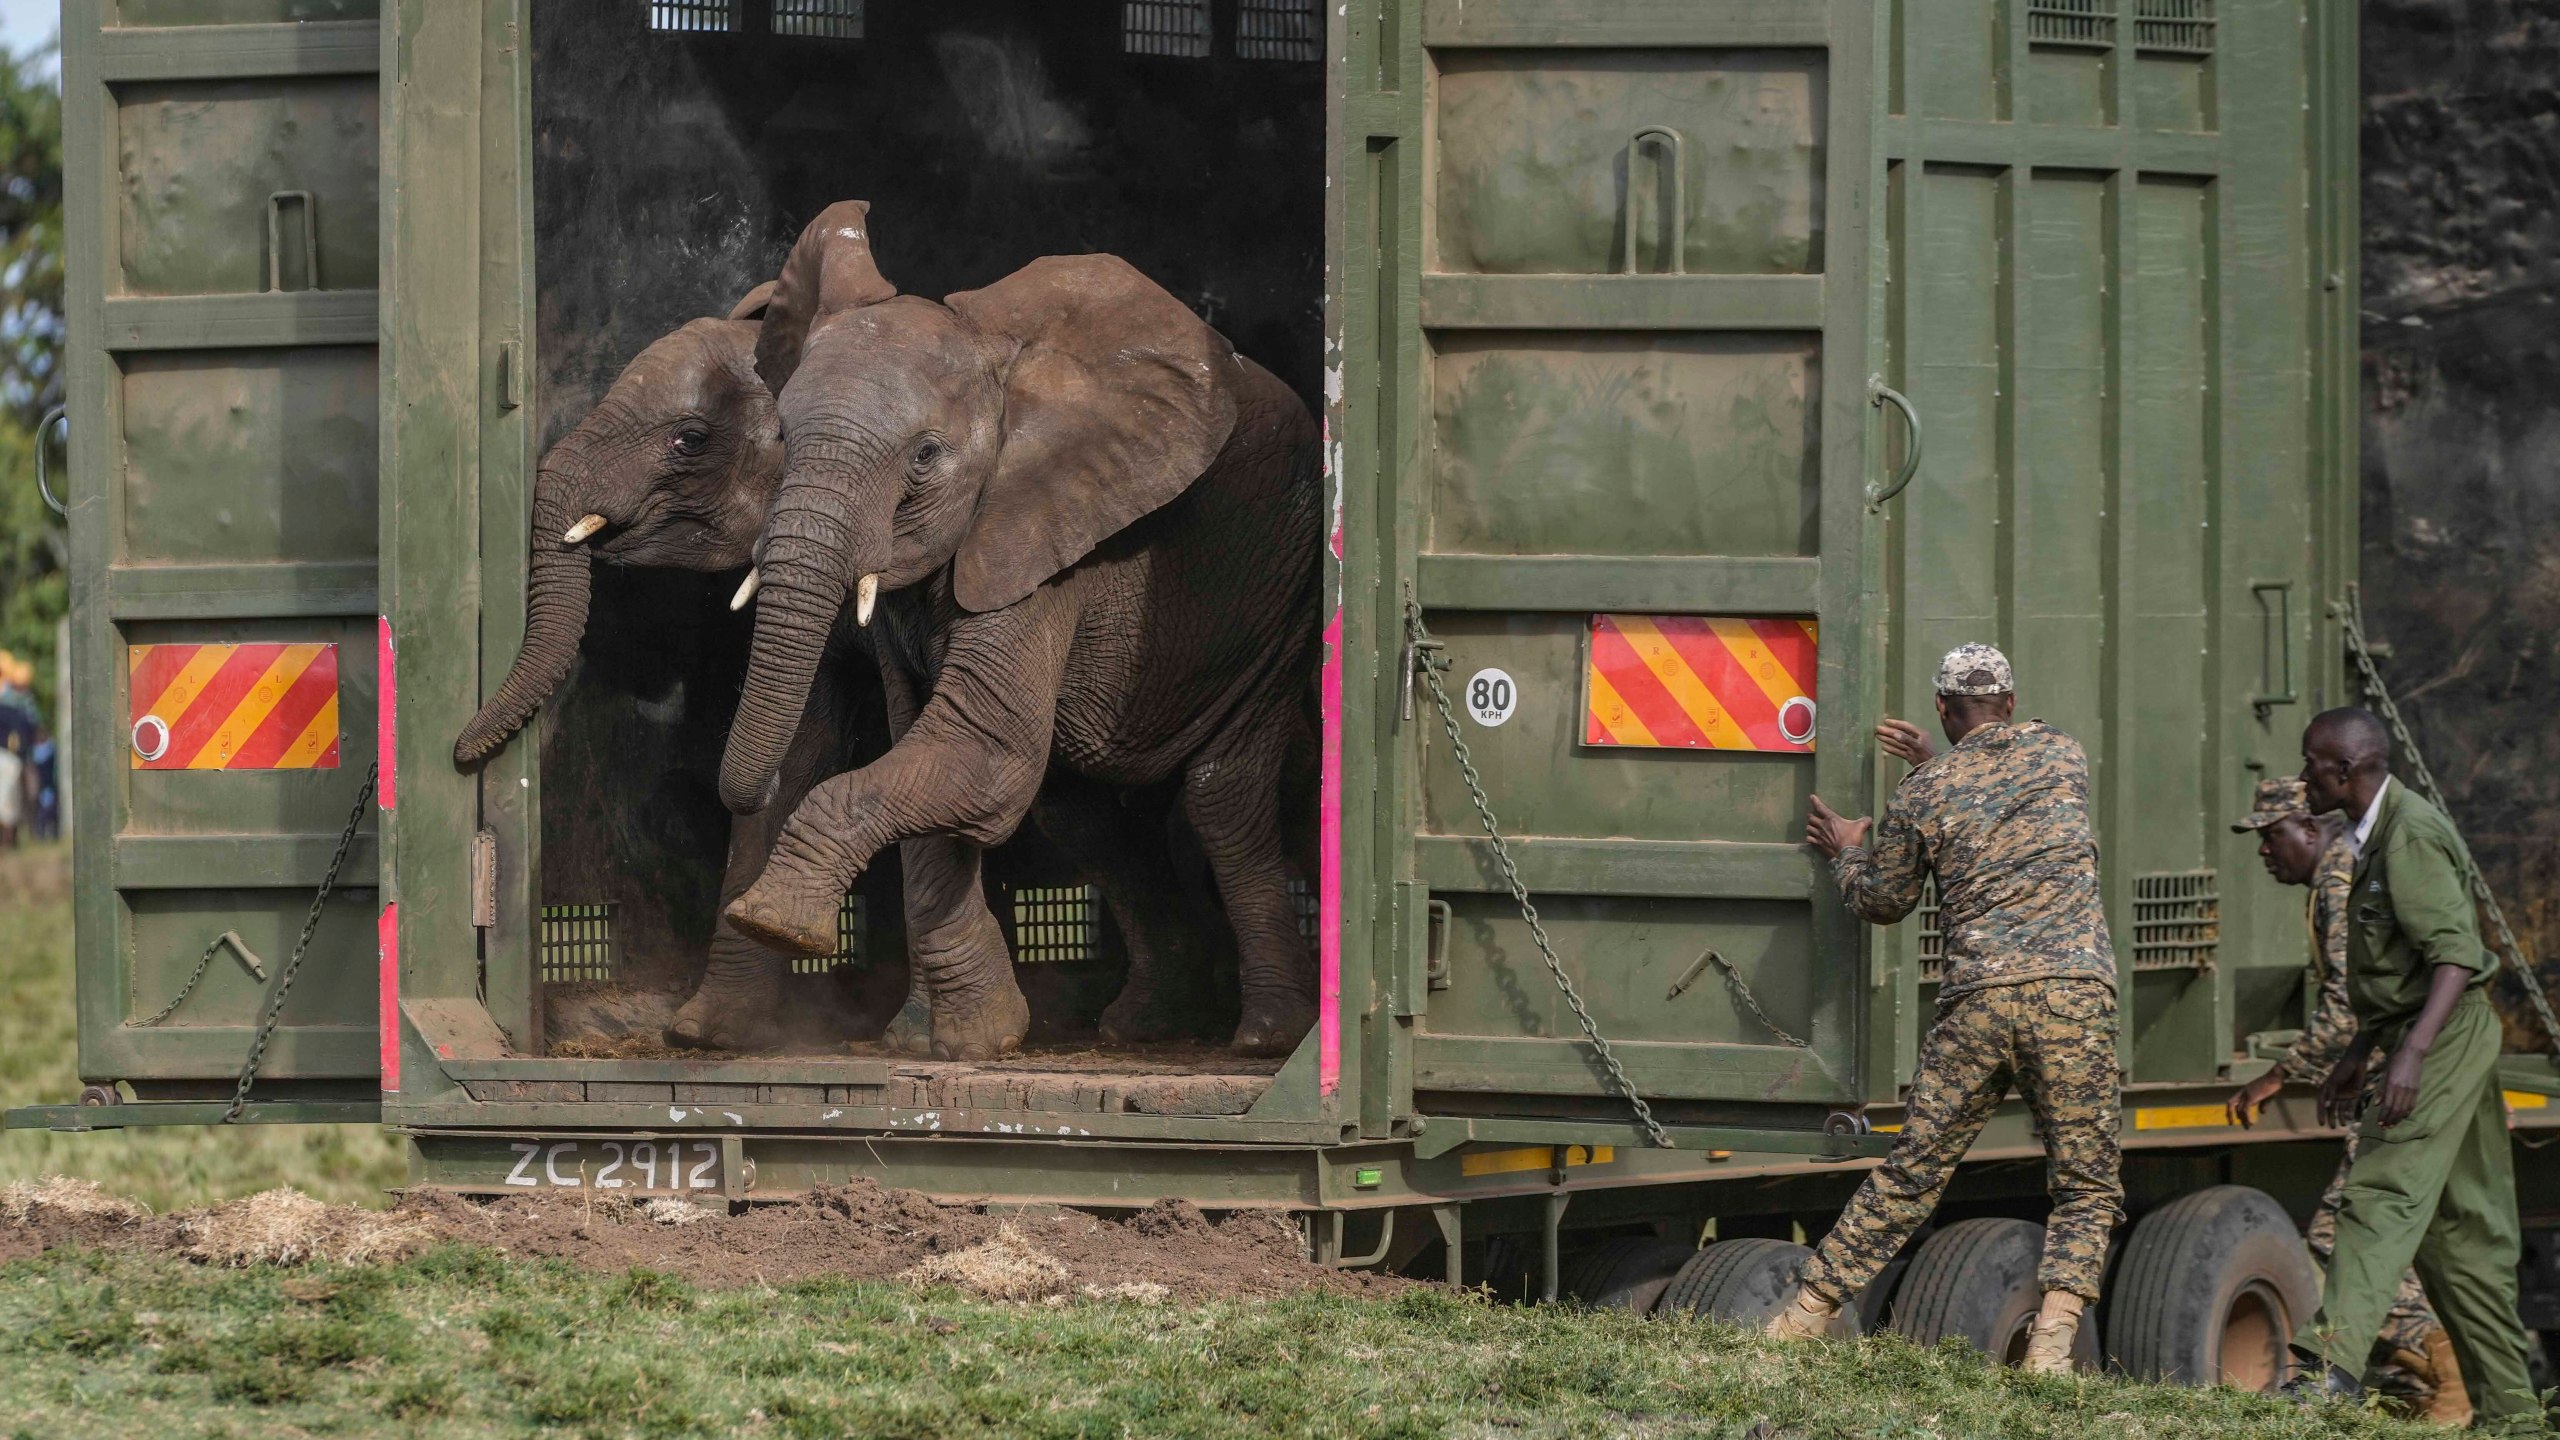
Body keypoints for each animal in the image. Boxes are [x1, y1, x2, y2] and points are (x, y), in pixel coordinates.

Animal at [716, 198, 1331, 1055]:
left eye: (926, 456)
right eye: (780, 437)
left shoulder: (1046, 540)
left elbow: (985, 752)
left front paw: (774, 921)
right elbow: (930, 755)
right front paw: (974, 1039)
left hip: (1281, 591)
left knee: (1221, 797)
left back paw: (1265, 1038)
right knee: (1082, 818)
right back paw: (1142, 1028)